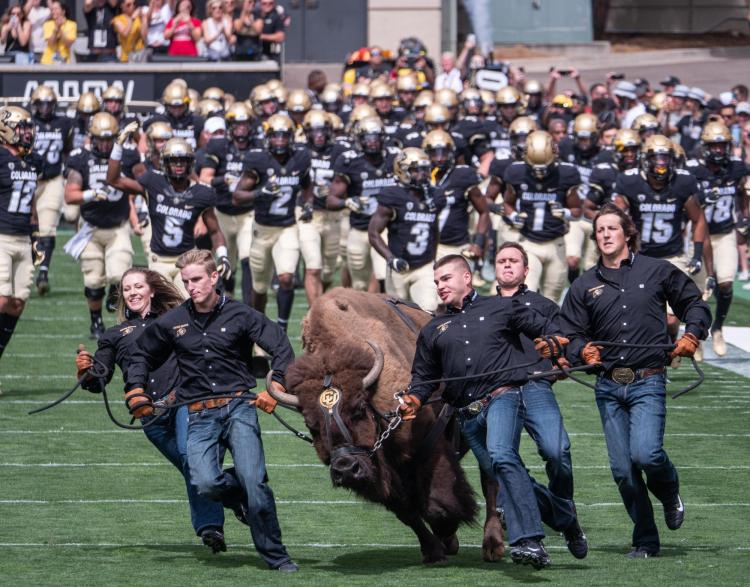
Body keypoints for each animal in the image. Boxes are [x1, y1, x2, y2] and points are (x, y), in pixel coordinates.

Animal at [270, 290, 506, 564]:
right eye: (311, 425)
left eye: (359, 409)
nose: (346, 469)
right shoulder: (382, 478)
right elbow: (407, 511)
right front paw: (434, 550)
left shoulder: (431, 445)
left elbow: (439, 503)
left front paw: (448, 538)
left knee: (490, 480)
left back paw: (493, 545)